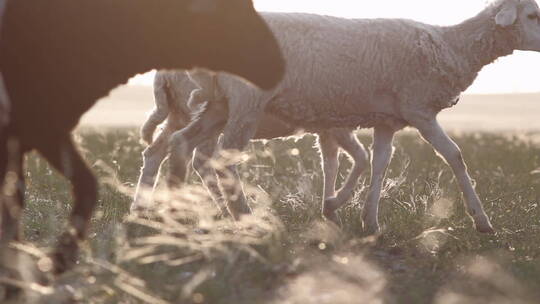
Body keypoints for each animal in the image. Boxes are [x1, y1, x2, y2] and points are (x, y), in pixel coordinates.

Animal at [0, 0, 284, 274]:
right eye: (229, 11)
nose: (277, 66)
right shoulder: (39, 130)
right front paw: (54, 260)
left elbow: (22, 199)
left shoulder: (34, 134)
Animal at [132, 70, 368, 223]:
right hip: (202, 112)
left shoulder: (327, 130)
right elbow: (358, 157)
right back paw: (228, 210)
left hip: (178, 115)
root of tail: (162, 77)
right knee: (200, 158)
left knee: (155, 153)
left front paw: (331, 212)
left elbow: (330, 163)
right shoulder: (336, 127)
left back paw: (139, 209)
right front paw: (335, 208)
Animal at [167, 0, 540, 235]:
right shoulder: (419, 110)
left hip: (220, 105)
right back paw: (242, 216)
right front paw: (482, 221)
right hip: (247, 102)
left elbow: (379, 164)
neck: (451, 46)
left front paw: (366, 220)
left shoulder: (387, 121)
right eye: (533, 14)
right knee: (221, 159)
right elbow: (454, 155)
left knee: (180, 142)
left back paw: (168, 209)